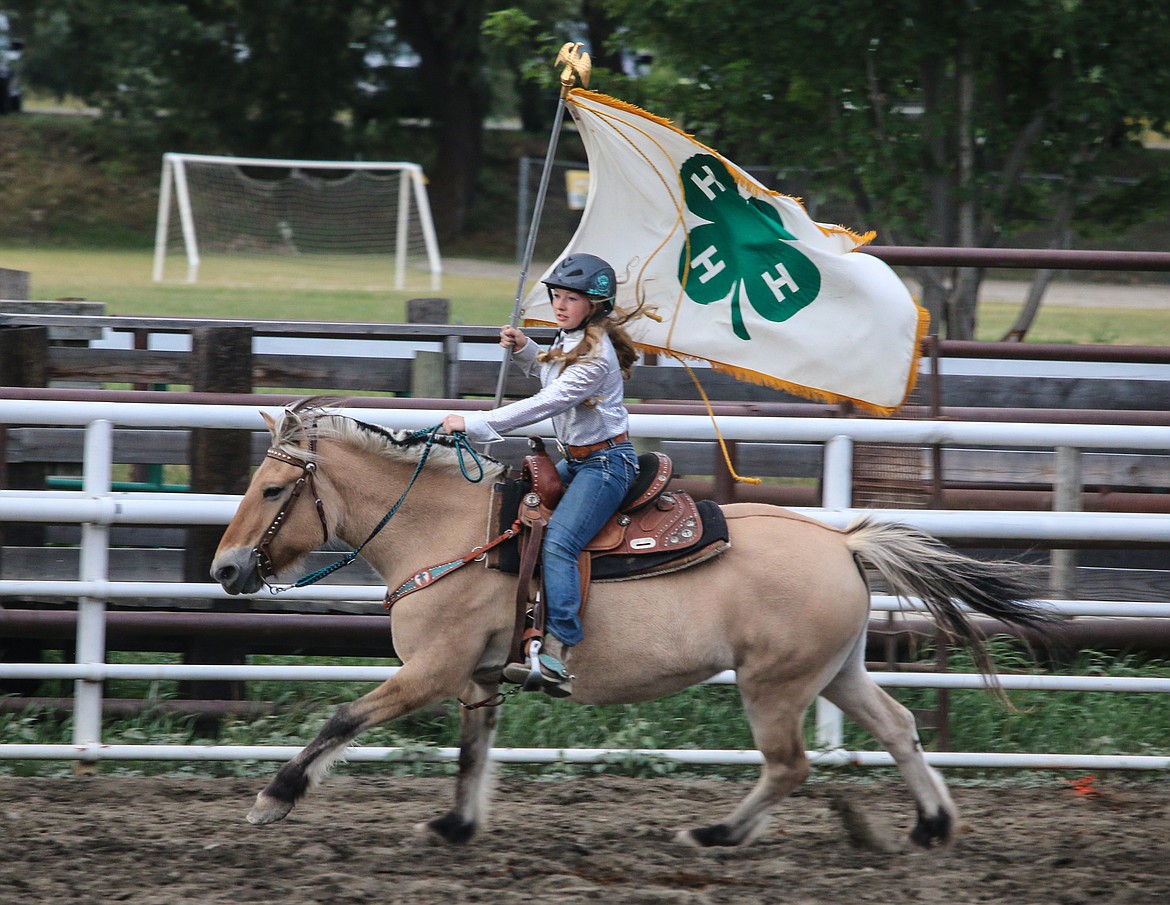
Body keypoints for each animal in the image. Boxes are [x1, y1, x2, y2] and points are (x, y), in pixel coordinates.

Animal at [210, 399, 1053, 851]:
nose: (225, 569)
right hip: (835, 671)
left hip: (773, 684)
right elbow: (472, 751)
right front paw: (453, 824)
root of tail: (843, 542)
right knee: (899, 726)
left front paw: (276, 794)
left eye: (275, 487)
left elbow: (344, 716)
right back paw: (931, 824)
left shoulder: (433, 668)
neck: (445, 529)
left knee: (789, 764)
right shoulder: (479, 674)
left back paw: (715, 835)